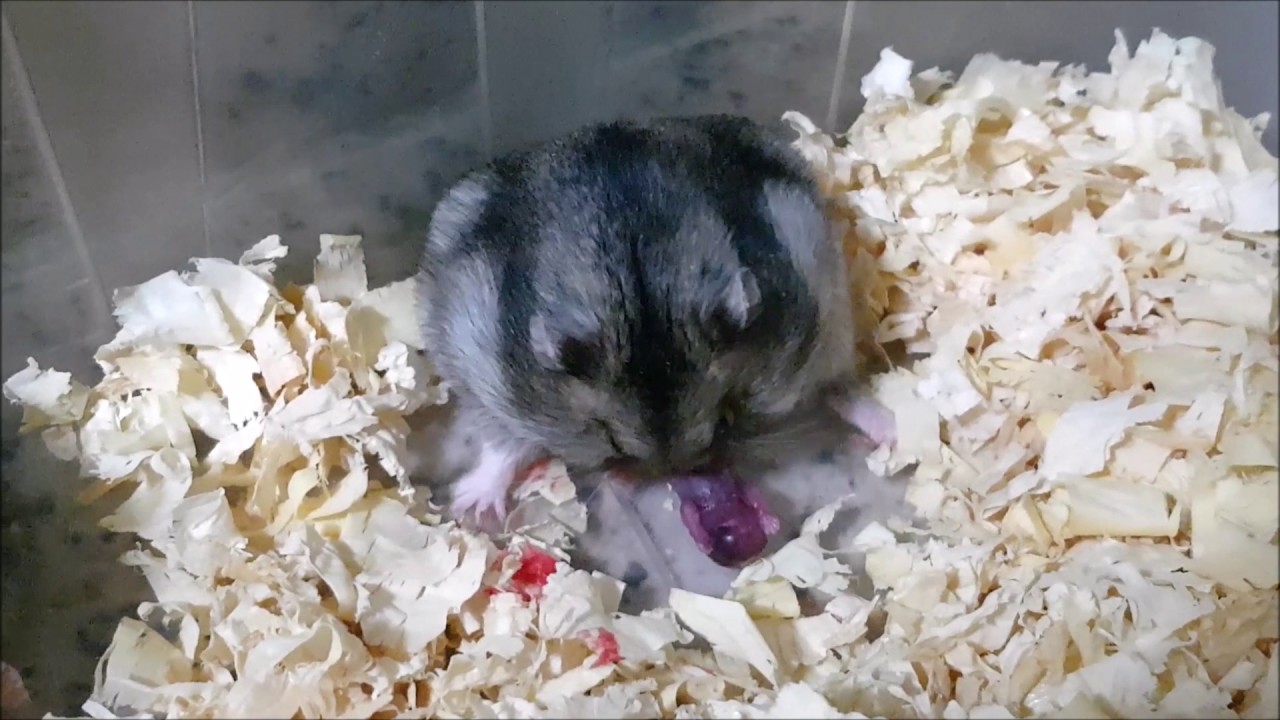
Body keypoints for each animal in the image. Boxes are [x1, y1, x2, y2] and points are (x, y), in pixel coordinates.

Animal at [416, 114, 894, 525]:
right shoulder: (486, 376)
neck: (640, 294)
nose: (673, 476)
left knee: (837, 384)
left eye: (726, 421)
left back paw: (890, 428)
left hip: (834, 313)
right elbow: (504, 446)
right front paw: (471, 506)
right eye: (612, 441)